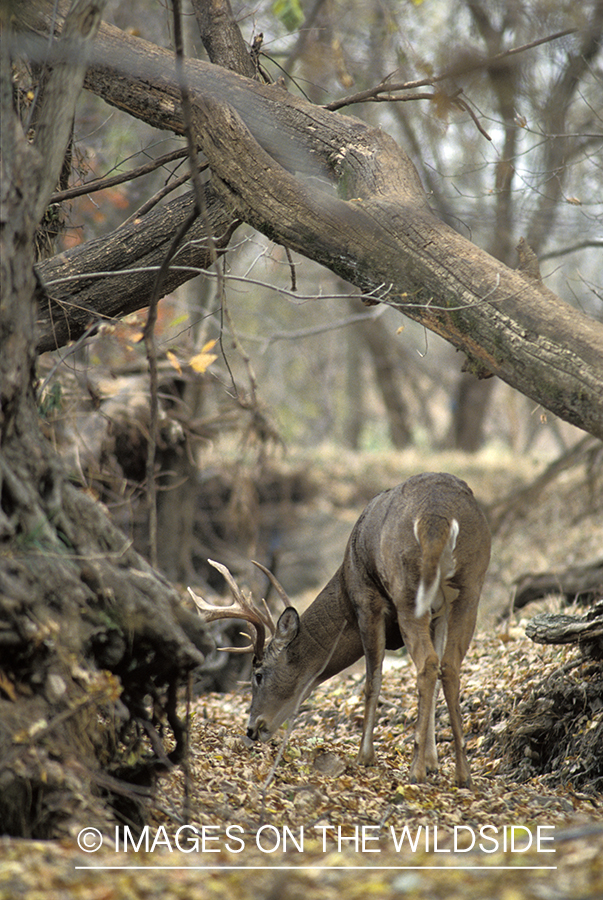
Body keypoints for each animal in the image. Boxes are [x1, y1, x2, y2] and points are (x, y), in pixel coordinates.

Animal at [191, 474, 494, 784]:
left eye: (259, 674)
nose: (252, 728)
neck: (345, 586)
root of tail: (437, 519)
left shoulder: (367, 600)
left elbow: (372, 680)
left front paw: (366, 756)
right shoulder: (437, 612)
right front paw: (433, 762)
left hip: (407, 590)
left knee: (428, 663)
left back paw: (415, 771)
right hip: (470, 585)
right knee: (450, 665)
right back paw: (462, 774)